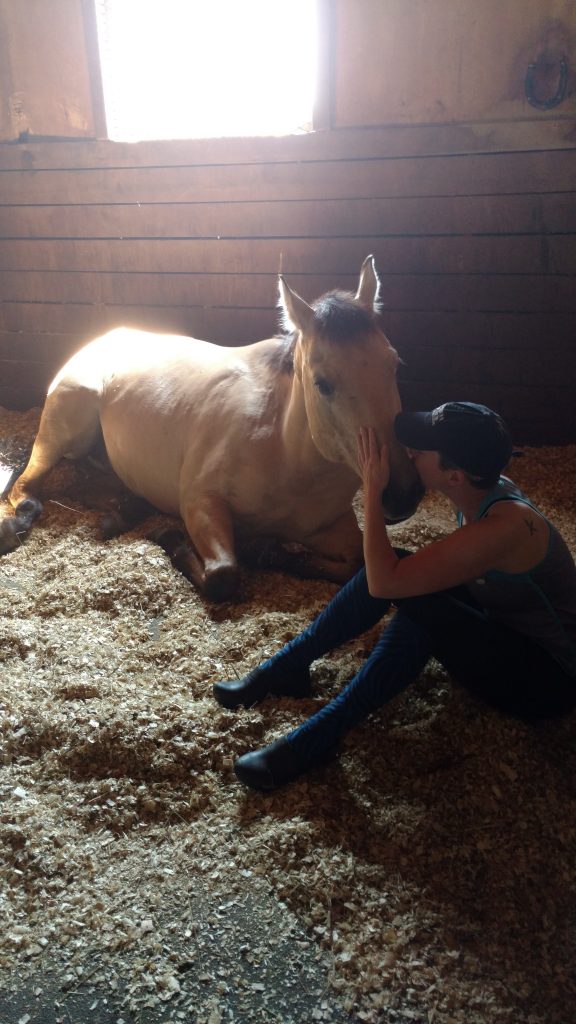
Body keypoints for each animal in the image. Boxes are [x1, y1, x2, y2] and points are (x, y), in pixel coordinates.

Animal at [0, 256, 422, 602]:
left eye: (394, 364)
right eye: (323, 383)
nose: (403, 493)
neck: (286, 454)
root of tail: (104, 338)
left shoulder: (333, 525)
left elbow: (358, 565)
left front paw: (267, 550)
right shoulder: (200, 503)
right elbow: (223, 575)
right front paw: (170, 536)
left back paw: (122, 510)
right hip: (63, 430)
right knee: (27, 484)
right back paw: (19, 521)